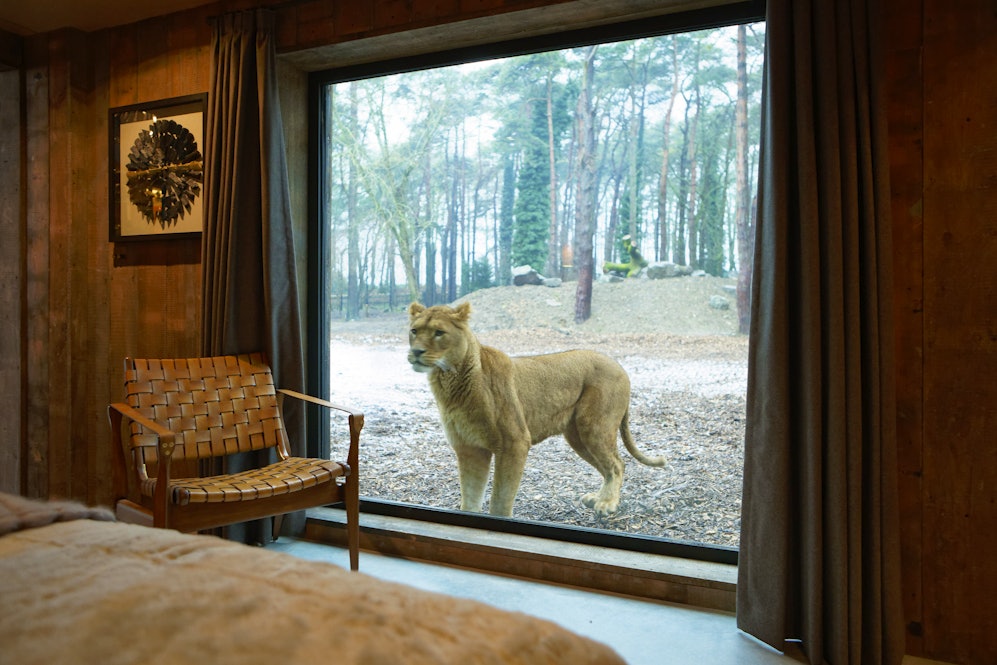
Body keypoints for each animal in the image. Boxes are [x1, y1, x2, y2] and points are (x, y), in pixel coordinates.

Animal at [407, 301, 666, 518]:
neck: (449, 381)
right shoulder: (469, 447)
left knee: (617, 464)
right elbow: (470, 498)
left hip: (595, 427)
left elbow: (500, 499)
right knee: (607, 466)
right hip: (578, 436)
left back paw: (607, 504)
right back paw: (598, 498)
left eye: (439, 333)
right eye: (414, 331)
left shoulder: (514, 443)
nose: (416, 352)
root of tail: (619, 365)